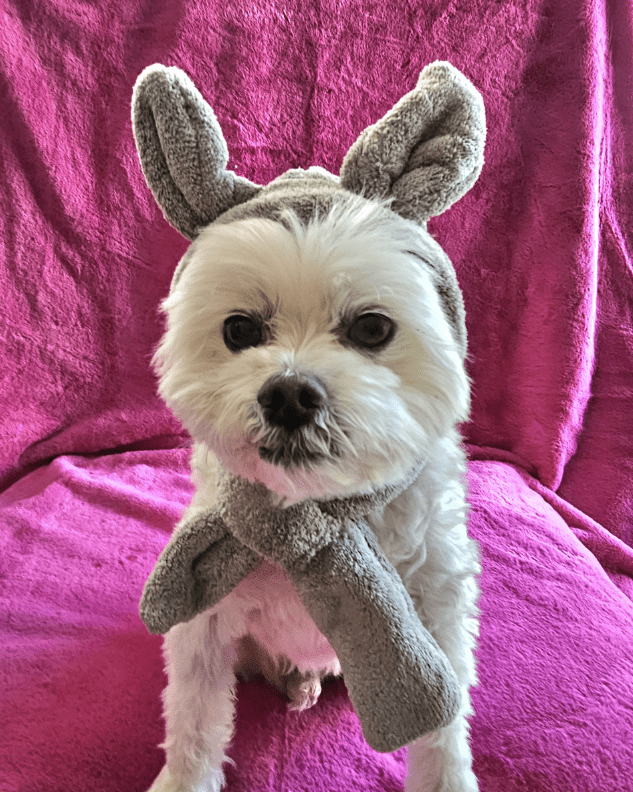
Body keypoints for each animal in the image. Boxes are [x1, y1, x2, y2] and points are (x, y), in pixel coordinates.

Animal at [135, 58, 484, 788]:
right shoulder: (201, 613)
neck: (314, 519)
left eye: (372, 328)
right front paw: (184, 777)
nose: (291, 393)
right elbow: (194, 722)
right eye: (239, 330)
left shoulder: (434, 616)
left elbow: (441, 734)